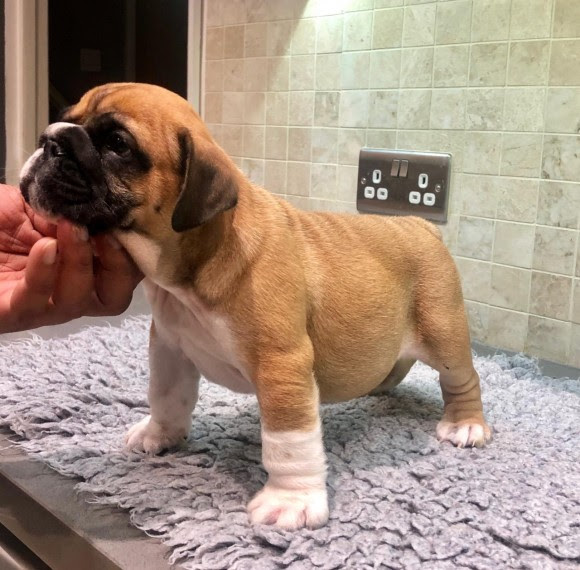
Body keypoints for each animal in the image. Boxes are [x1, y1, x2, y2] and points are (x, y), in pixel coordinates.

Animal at [19, 83, 490, 528]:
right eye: (65, 117)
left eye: (118, 143)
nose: (50, 139)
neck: (189, 269)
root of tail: (419, 224)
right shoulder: (170, 347)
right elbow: (166, 396)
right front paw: (159, 435)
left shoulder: (281, 365)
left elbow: (288, 442)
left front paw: (290, 501)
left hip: (443, 331)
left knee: (463, 379)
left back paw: (465, 424)